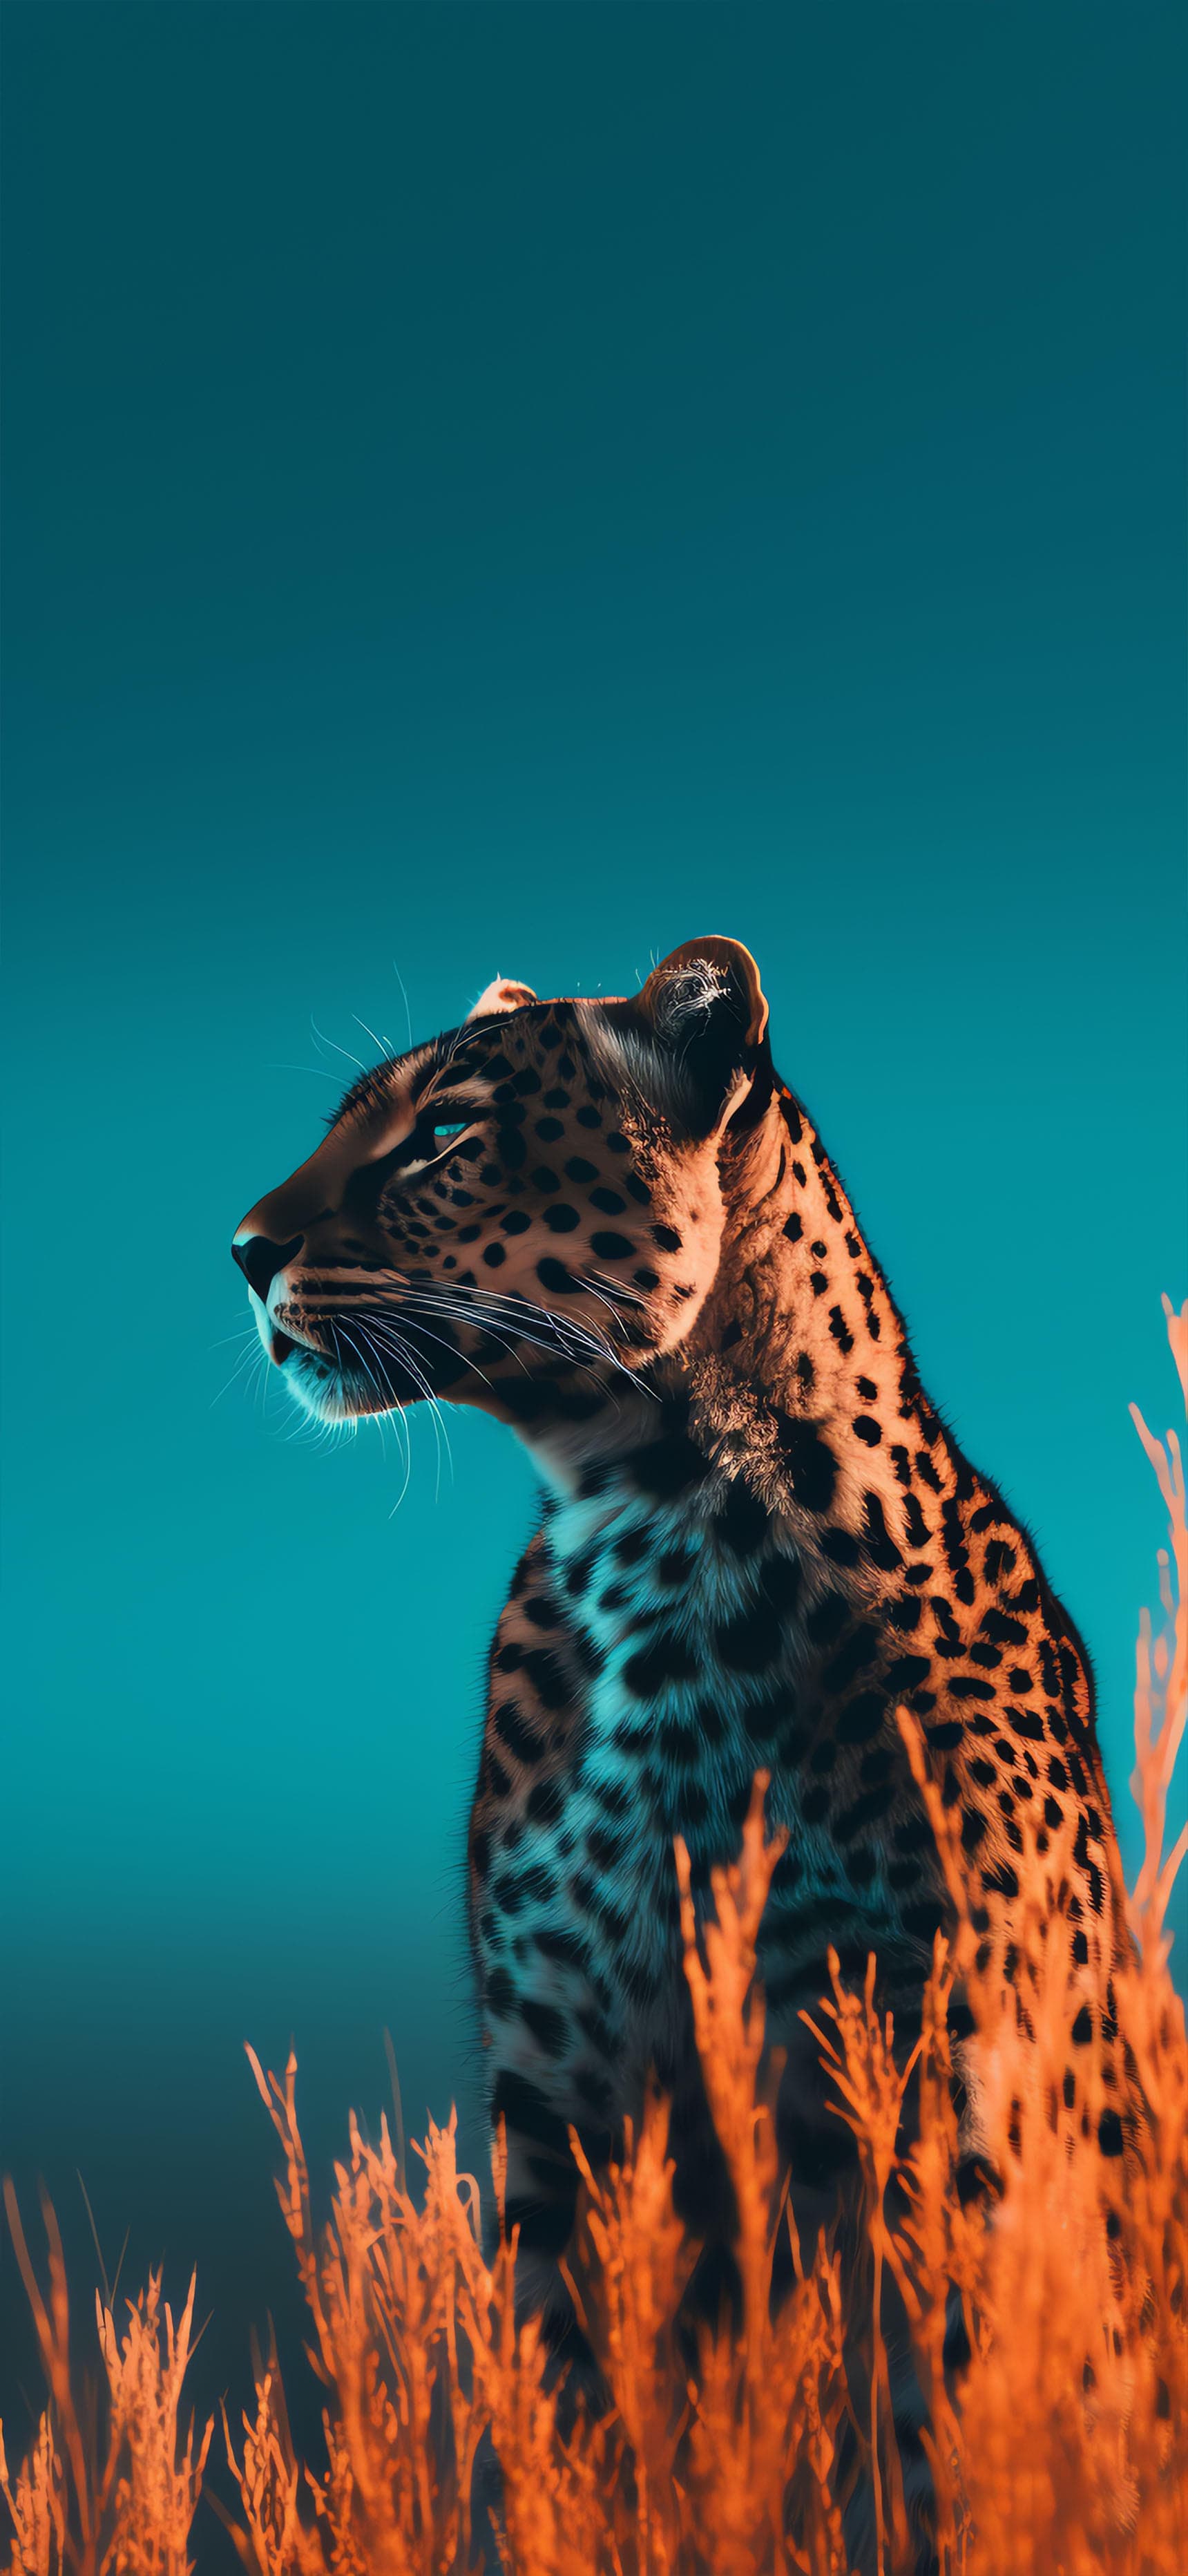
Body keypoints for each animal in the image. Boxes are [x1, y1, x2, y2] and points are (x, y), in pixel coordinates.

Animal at [232, 936, 1132, 2545]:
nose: (241, 1250)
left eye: (444, 1132)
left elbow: (941, 2430)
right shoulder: (564, 2094)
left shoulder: (950, 2080)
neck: (656, 1519)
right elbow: (582, 2425)